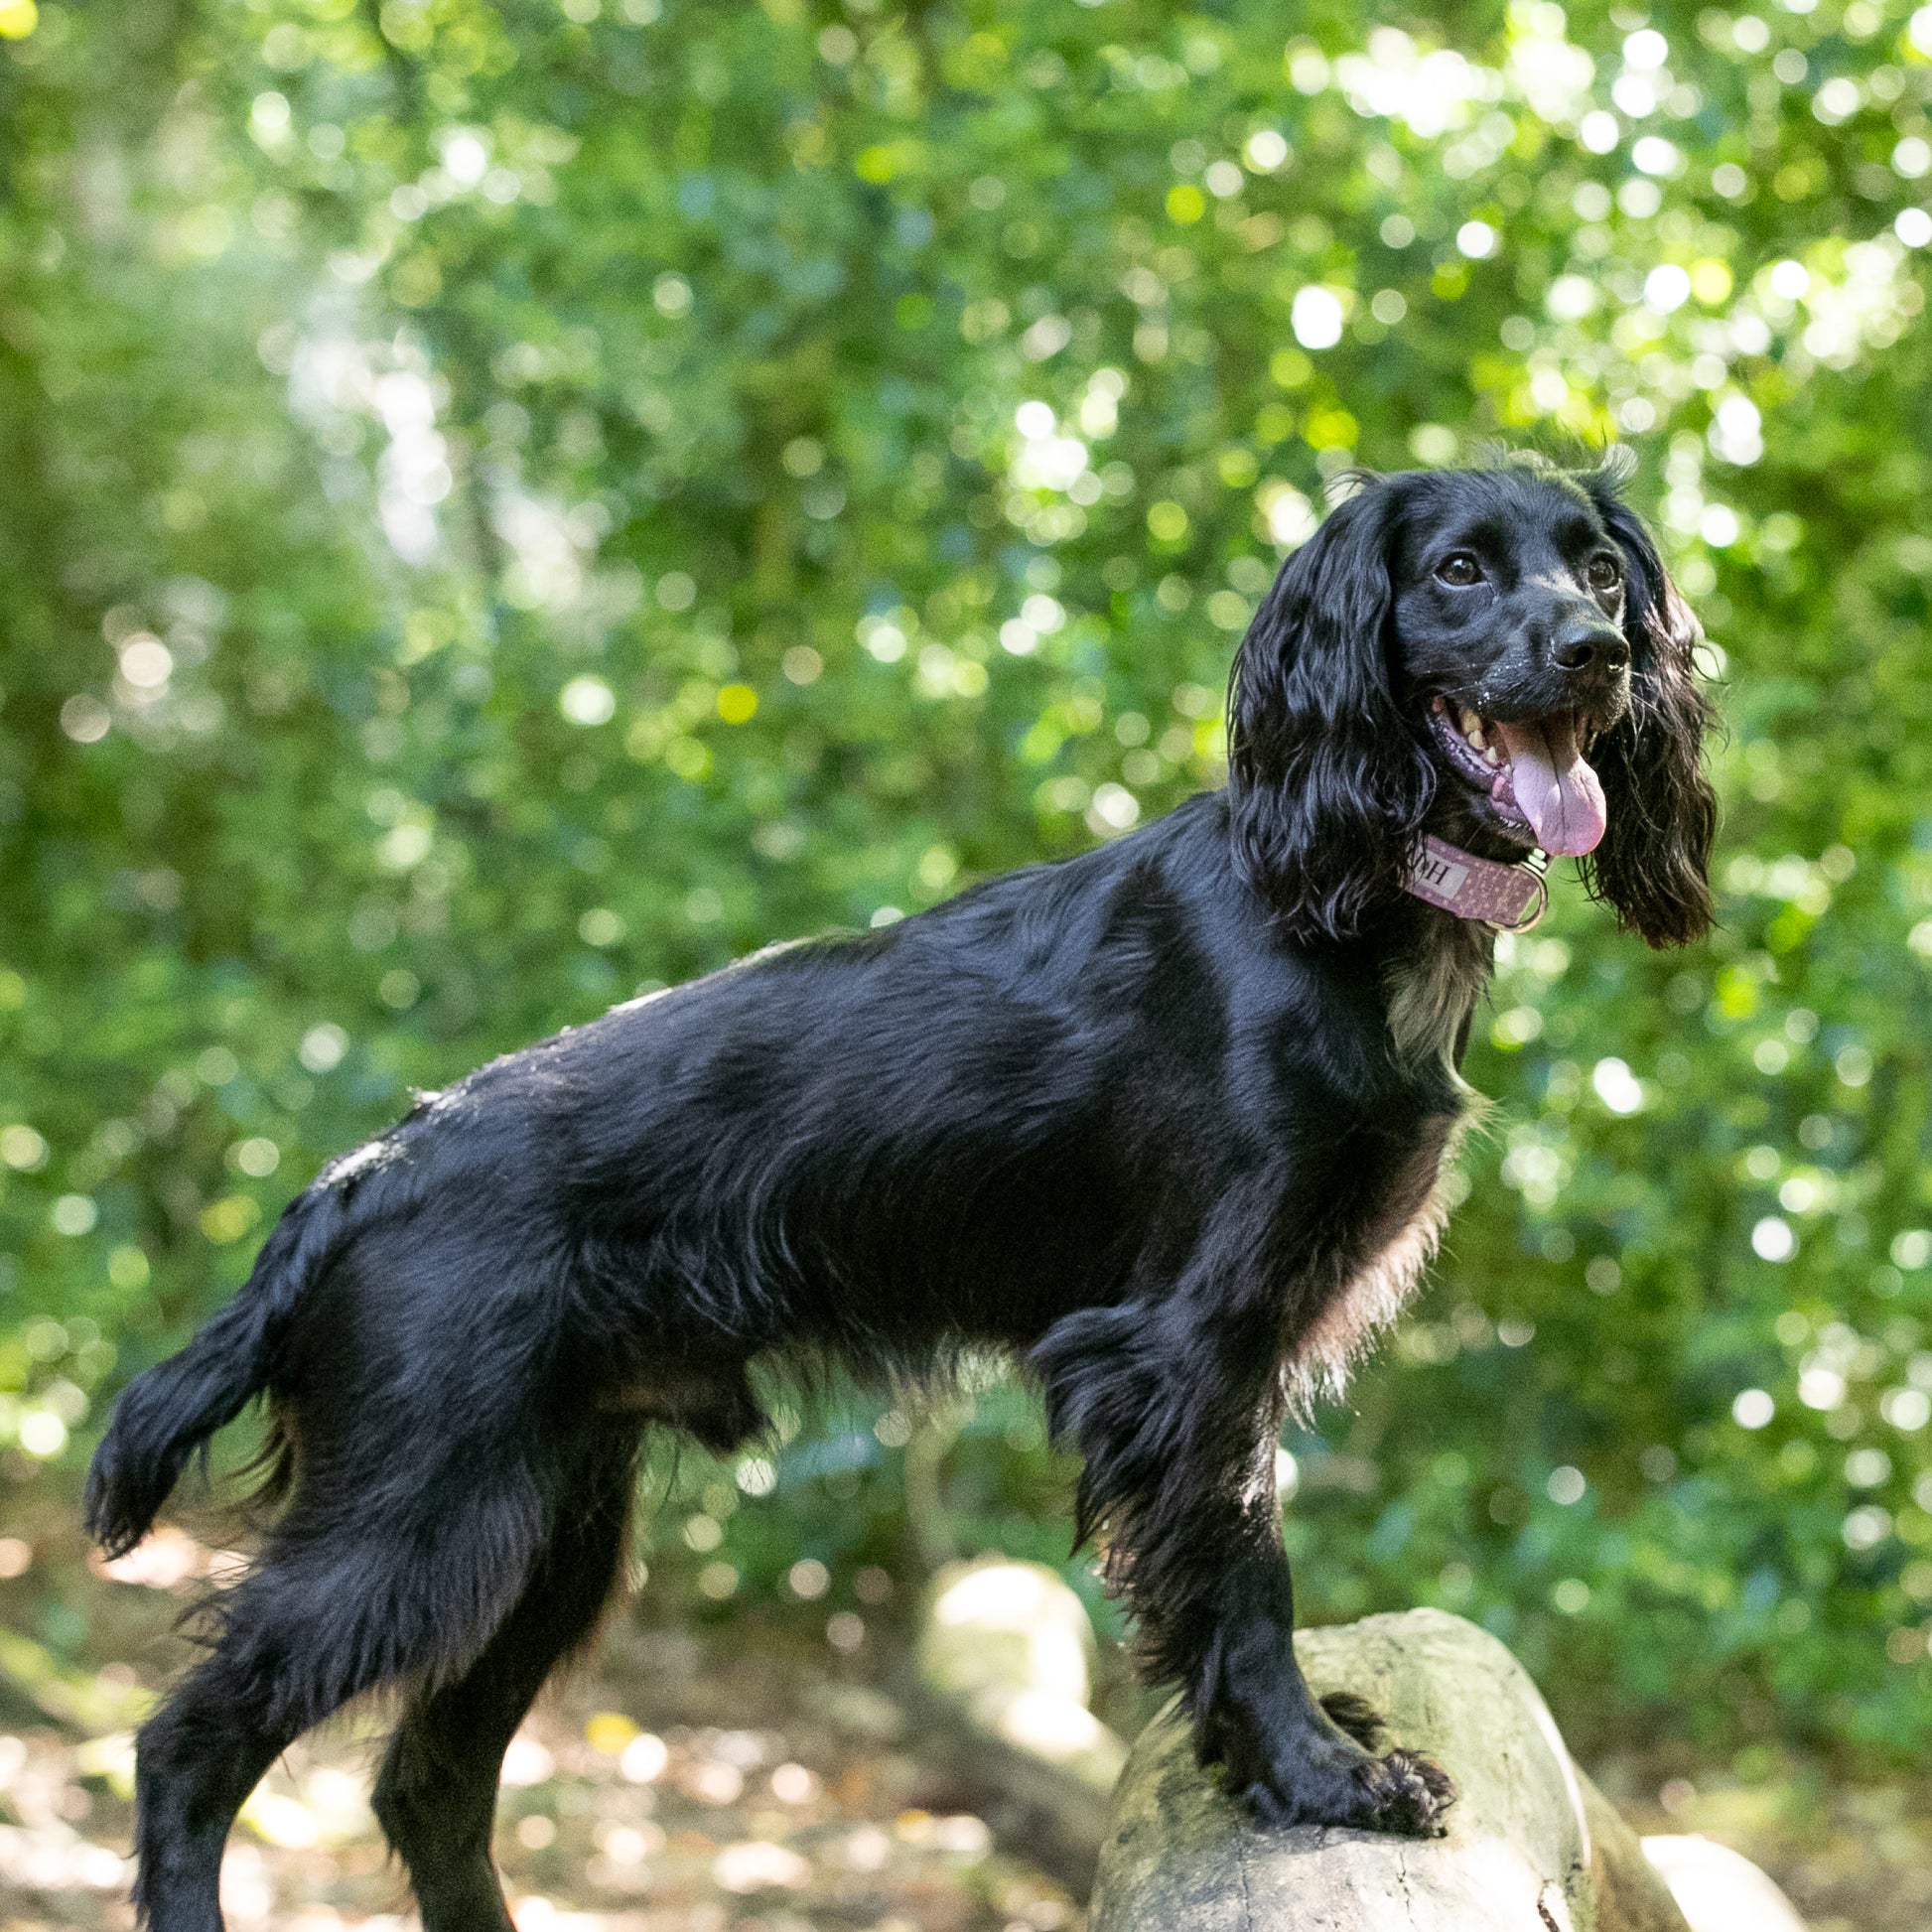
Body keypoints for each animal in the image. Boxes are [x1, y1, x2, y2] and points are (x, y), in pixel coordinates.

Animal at [97, 448, 1716, 1916]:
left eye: (1595, 567)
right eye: (1457, 569)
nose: (1599, 654)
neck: (1337, 895)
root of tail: (362, 1171)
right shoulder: (1180, 1348)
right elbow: (1244, 1578)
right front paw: (1317, 1774)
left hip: (543, 1530)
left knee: (428, 1786)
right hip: (417, 1517)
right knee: (187, 1747)